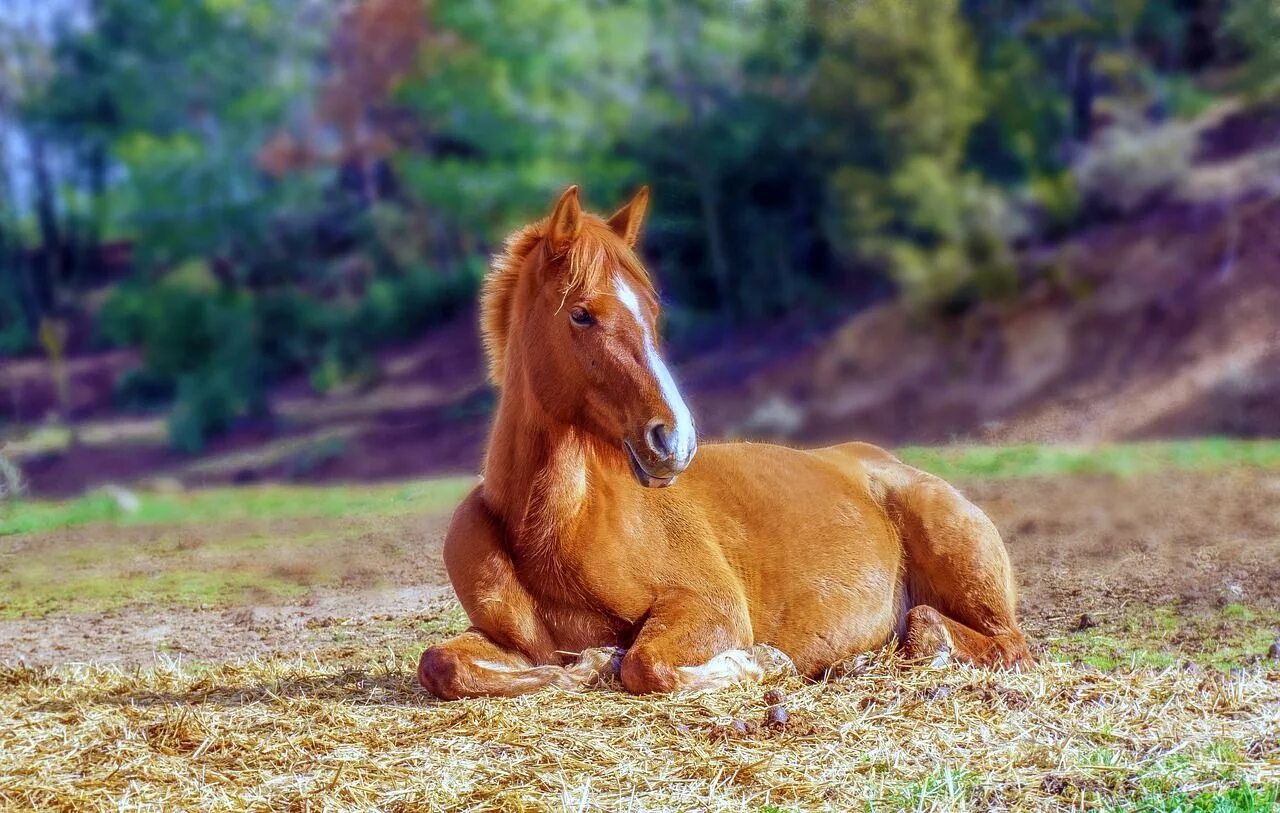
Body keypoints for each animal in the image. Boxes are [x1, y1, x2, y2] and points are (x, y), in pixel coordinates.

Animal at [414, 184, 1034, 701]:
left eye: (652, 310)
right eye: (582, 314)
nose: (675, 439)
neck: (556, 526)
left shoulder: (709, 608)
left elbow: (645, 666)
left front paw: (761, 663)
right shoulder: (506, 639)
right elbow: (441, 663)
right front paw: (585, 665)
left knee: (987, 640)